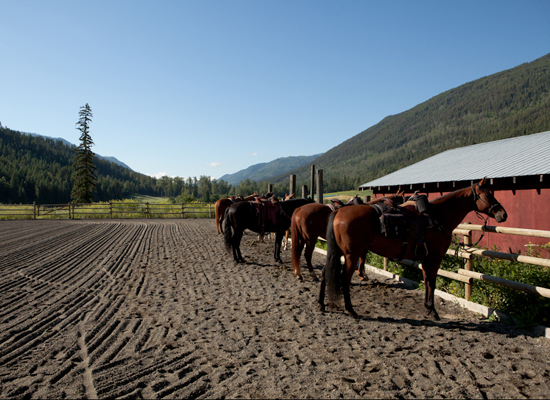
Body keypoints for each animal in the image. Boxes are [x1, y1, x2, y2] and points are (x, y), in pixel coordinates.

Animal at [322, 180, 512, 320]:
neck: (437, 217)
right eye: (487, 195)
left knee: (327, 273)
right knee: (344, 279)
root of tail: (338, 213)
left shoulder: (426, 259)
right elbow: (432, 282)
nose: (503, 214)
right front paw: (433, 311)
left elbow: (426, 280)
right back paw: (350, 309)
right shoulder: (434, 257)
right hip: (351, 254)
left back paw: (322, 304)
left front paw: (428, 307)